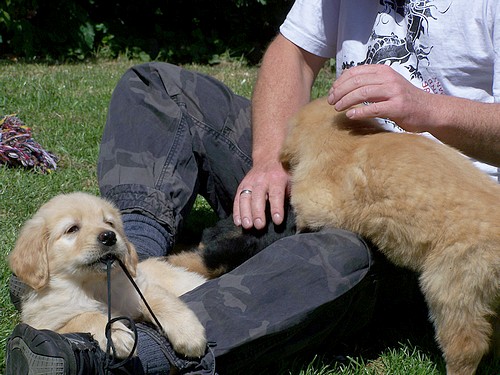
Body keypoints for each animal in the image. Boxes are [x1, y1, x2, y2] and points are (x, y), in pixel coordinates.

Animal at [9, 192, 209, 360]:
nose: (109, 236)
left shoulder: (139, 286)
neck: (94, 285)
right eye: (72, 229)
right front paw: (116, 335)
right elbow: (85, 316)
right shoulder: (47, 323)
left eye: (109, 223)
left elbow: (161, 300)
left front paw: (188, 332)